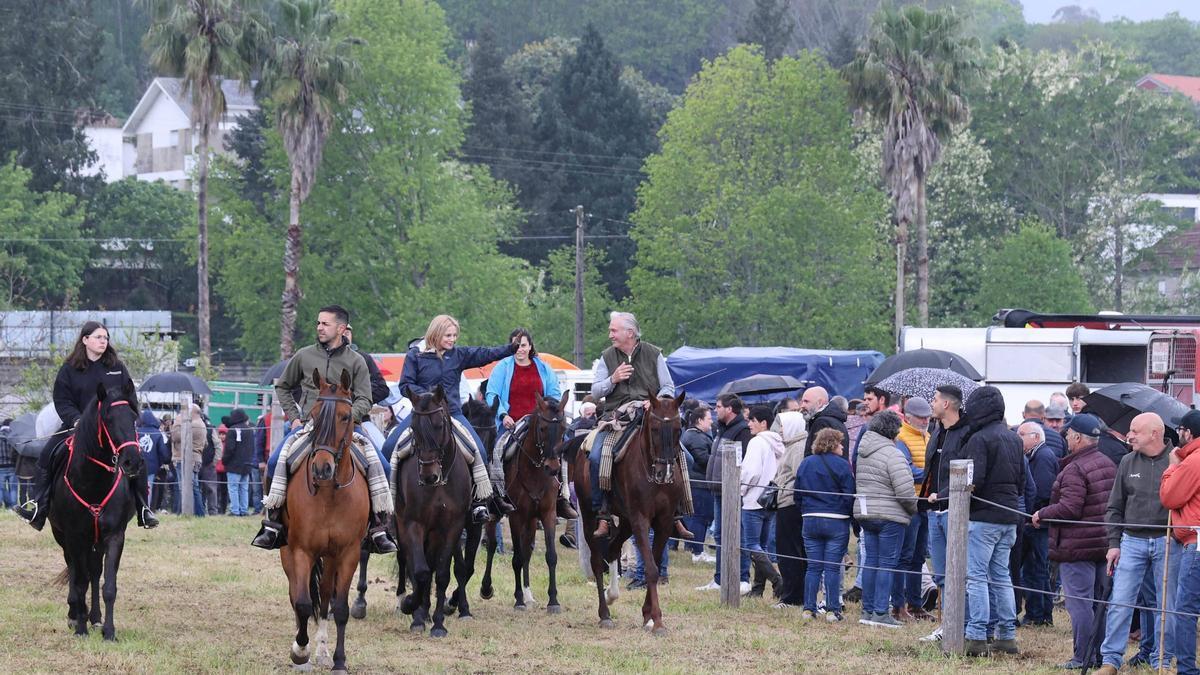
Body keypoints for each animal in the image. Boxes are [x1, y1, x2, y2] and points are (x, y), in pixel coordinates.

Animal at [48, 380, 143, 641]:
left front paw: (109, 631)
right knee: (74, 569)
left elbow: (108, 585)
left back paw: (95, 618)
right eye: (108, 419)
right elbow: (79, 581)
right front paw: (80, 628)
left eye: (133, 417)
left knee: (94, 571)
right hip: (63, 537)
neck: (94, 485)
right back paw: (75, 616)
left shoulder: (114, 536)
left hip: (96, 540)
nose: (132, 461)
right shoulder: (75, 537)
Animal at [280, 369, 370, 673]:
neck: (330, 493)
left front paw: (339, 660)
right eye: (314, 414)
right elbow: (303, 603)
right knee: (296, 594)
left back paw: (321, 649)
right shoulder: (301, 550)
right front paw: (299, 651)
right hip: (287, 550)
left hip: (330, 557)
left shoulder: (348, 553)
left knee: (326, 595)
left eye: (345, 416)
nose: (322, 468)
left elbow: (338, 607)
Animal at [393, 386, 478, 637]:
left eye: (439, 424)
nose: (429, 476)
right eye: (413, 427)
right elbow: (420, 572)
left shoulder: (452, 527)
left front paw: (439, 624)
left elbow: (441, 574)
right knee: (411, 563)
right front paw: (413, 609)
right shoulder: (413, 524)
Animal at [480, 392, 570, 612]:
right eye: (542, 428)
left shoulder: (548, 514)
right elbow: (517, 558)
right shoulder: (516, 515)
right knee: (493, 545)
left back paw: (529, 594)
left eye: (563, 428)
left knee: (527, 548)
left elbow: (550, 555)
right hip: (495, 513)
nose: (552, 467)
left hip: (531, 519)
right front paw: (519, 599)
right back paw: (487, 588)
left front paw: (553, 601)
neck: (535, 471)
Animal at [566, 393, 687, 634]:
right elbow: (650, 568)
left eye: (678, 429)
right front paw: (657, 620)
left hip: (625, 521)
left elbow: (654, 564)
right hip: (591, 517)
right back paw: (605, 613)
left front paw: (648, 615)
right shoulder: (641, 520)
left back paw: (611, 595)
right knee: (597, 560)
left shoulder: (664, 522)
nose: (665, 472)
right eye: (655, 429)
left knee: (613, 549)